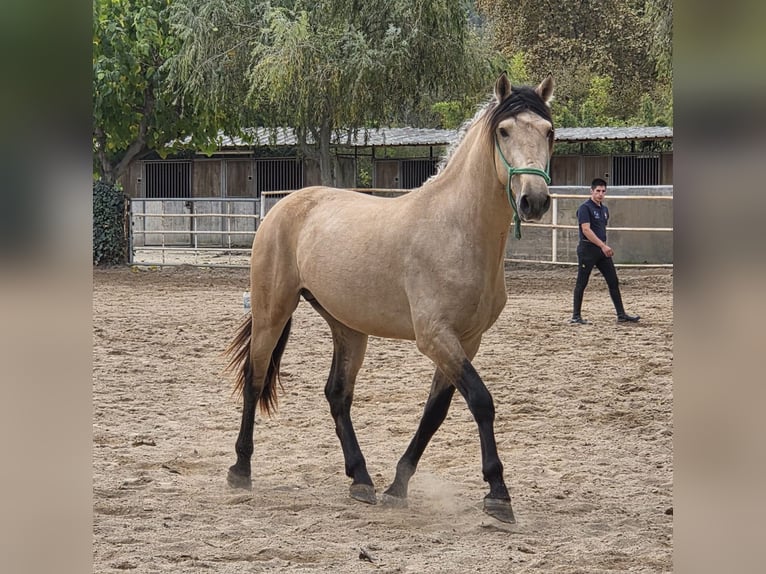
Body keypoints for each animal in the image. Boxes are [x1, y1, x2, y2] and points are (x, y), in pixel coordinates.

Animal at [225, 72, 555, 524]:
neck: (456, 229)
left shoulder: (466, 341)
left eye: (549, 131)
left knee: (337, 395)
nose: (534, 200)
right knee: (255, 380)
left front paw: (398, 486)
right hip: (271, 312)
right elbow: (481, 401)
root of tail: (284, 205)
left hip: (347, 327)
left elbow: (435, 412)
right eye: (504, 131)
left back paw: (361, 479)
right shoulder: (434, 337)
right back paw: (241, 470)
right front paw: (498, 494)